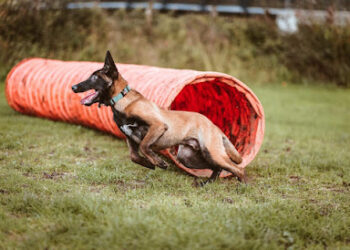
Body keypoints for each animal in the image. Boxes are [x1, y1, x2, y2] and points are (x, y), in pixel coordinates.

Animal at [72, 50, 245, 185]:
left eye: (95, 78)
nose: (73, 87)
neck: (122, 99)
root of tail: (214, 125)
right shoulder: (130, 139)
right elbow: (134, 156)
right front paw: (149, 163)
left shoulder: (158, 125)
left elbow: (144, 146)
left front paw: (158, 161)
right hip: (188, 157)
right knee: (218, 167)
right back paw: (207, 183)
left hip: (211, 152)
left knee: (237, 169)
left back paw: (242, 186)